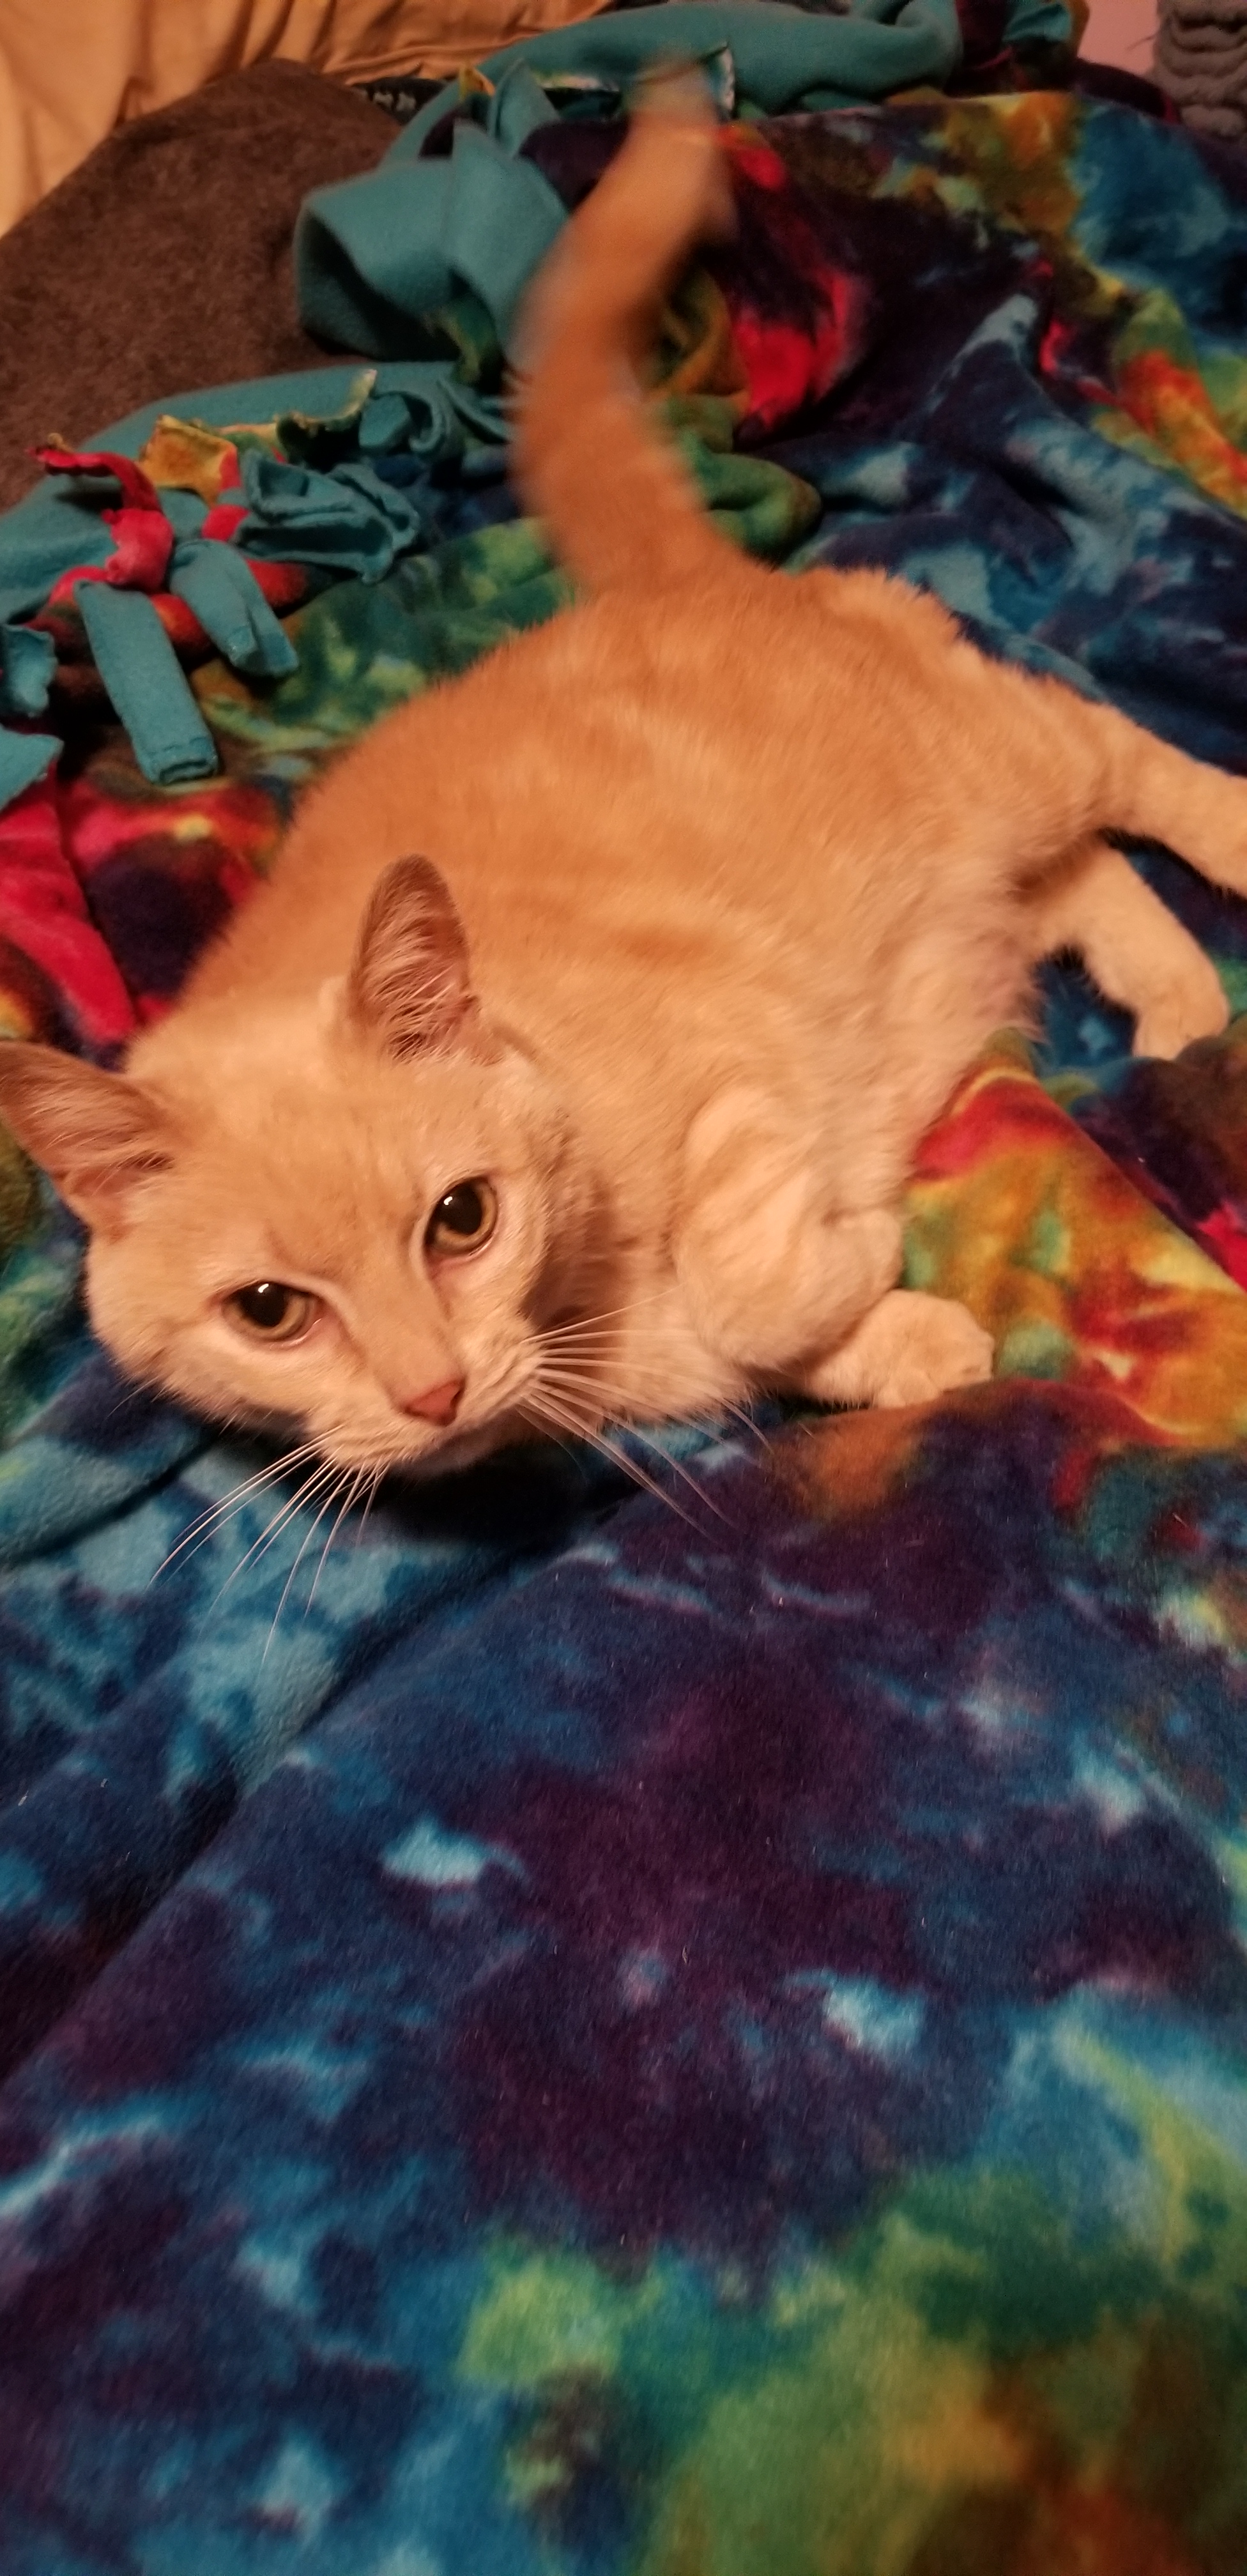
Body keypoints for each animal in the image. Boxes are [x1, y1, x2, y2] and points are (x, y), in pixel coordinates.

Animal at [0, 77, 1243, 1490]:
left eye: (462, 1220)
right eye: (268, 1312)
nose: (432, 1392)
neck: (582, 1307)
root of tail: (670, 580)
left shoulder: (740, 1073)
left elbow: (749, 1288)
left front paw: (861, 1249)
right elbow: (743, 1353)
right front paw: (906, 1340)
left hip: (1005, 761)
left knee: (1127, 764)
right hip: (982, 857)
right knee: (1080, 878)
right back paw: (1178, 1001)